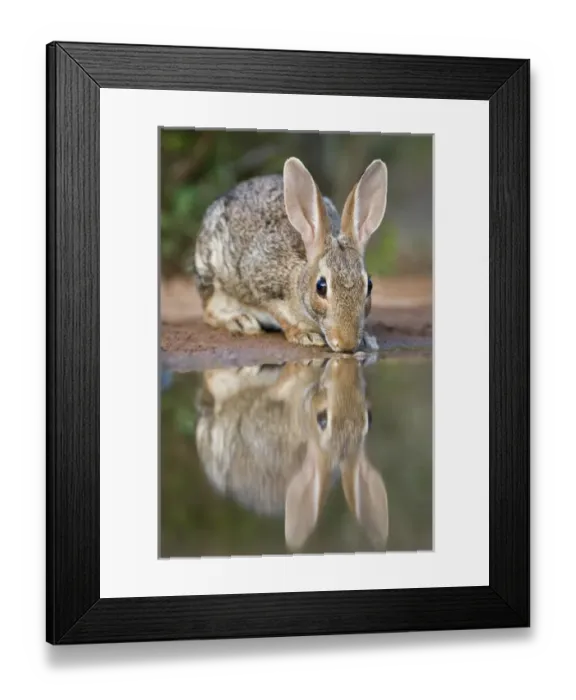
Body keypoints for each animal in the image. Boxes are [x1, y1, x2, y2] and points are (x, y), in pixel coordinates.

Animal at [190, 156, 388, 354]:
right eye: (321, 287)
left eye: (369, 286)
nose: (347, 344)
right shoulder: (263, 285)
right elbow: (279, 314)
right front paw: (305, 335)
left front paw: (367, 340)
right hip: (212, 275)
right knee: (209, 310)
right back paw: (240, 321)